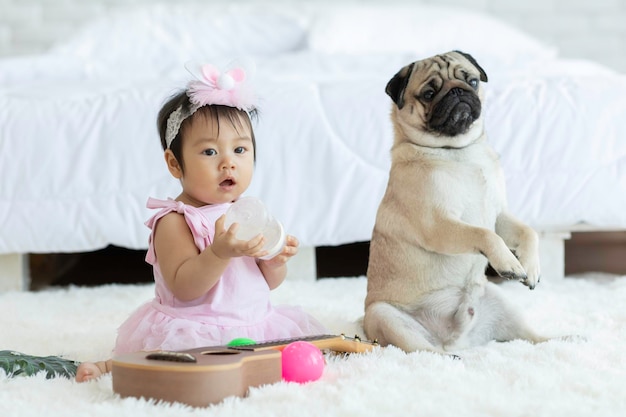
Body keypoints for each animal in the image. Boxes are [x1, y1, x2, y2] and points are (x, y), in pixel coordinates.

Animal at [360, 50, 544, 352]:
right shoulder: (439, 225)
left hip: (501, 302)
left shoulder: (499, 215)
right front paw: (508, 262)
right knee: (423, 352)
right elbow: (484, 235)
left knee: (530, 337)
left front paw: (529, 266)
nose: (458, 91)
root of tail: (456, 340)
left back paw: (568, 338)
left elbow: (529, 231)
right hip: (383, 315)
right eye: (429, 93)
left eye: (472, 81)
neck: (459, 152)